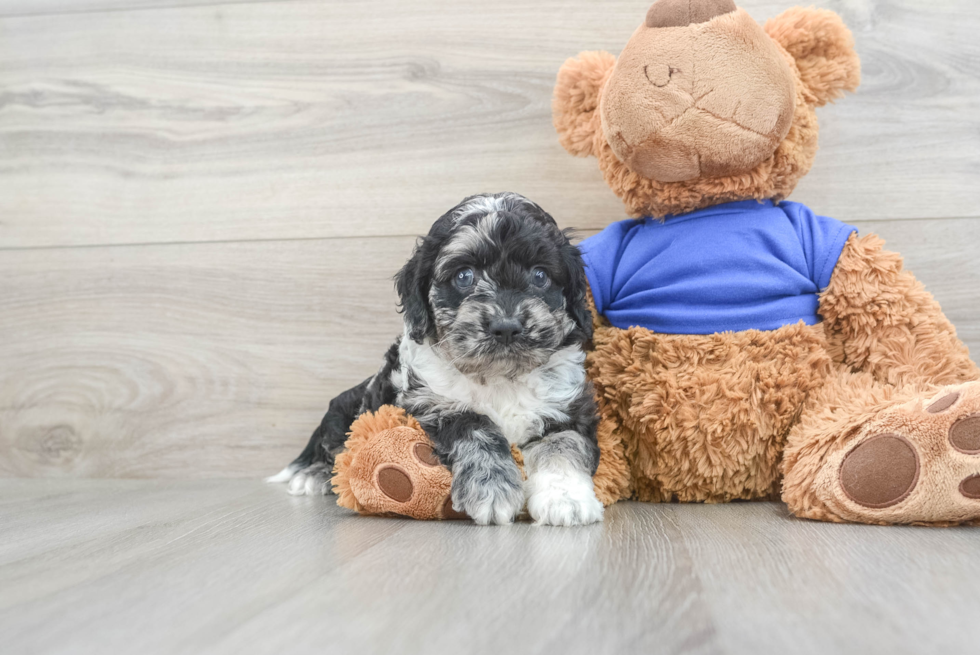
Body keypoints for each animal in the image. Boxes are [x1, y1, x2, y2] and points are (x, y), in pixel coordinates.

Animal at [270, 192, 604, 524]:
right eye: (464, 276)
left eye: (540, 275)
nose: (506, 327)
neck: (498, 377)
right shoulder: (433, 404)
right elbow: (476, 426)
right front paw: (491, 489)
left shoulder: (569, 411)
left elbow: (563, 445)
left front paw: (566, 499)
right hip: (342, 413)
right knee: (334, 448)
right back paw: (313, 476)